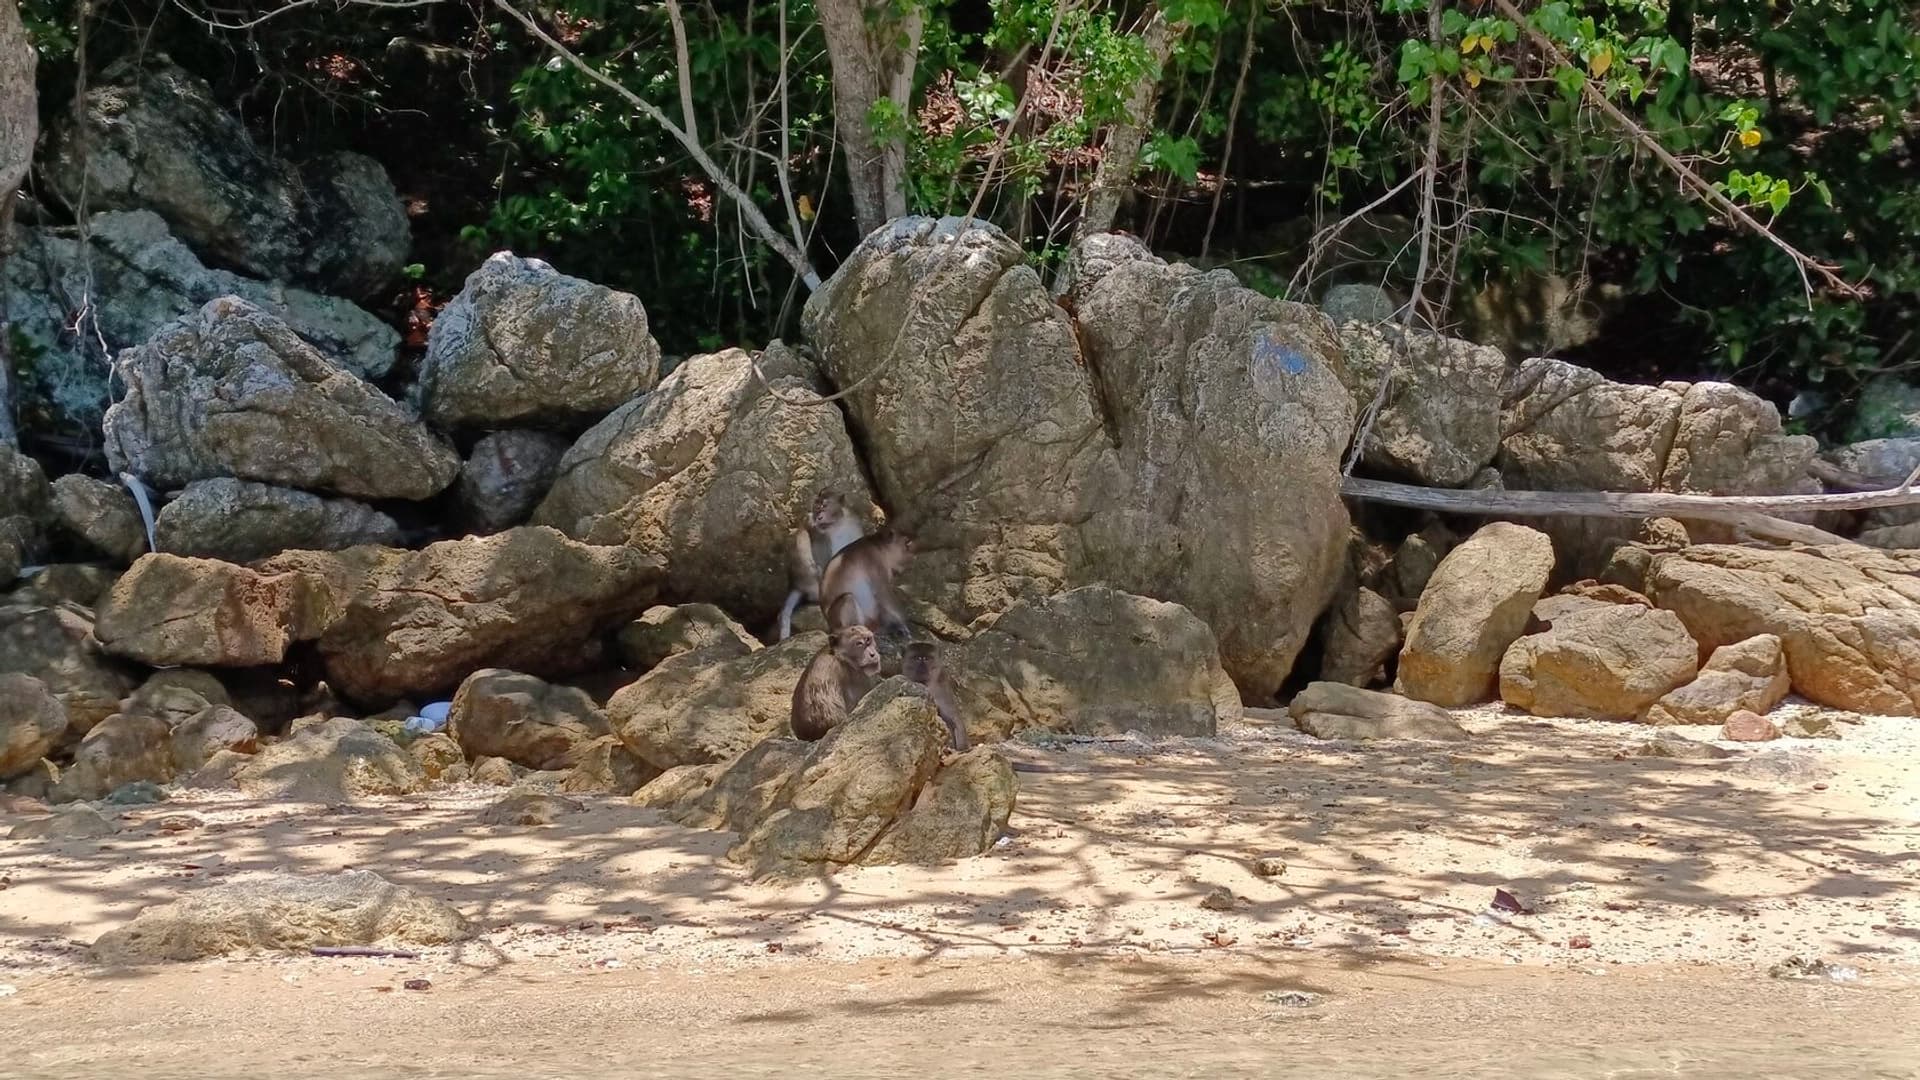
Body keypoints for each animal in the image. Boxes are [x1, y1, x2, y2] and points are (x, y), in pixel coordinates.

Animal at [777, 490, 865, 641]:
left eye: (824, 505)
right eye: (816, 506)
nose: (818, 516)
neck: (836, 524)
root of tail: (796, 583)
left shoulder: (854, 524)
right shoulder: (813, 527)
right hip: (808, 578)